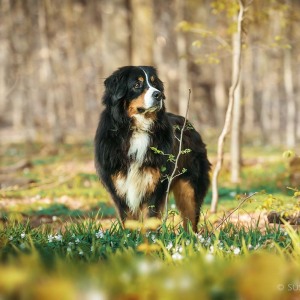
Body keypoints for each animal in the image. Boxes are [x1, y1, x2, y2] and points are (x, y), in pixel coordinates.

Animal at [95, 65, 210, 231]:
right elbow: (129, 221)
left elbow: (150, 219)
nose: (158, 94)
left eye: (155, 83)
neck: (137, 129)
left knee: (190, 219)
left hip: (190, 186)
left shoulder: (155, 185)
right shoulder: (119, 188)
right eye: (137, 84)